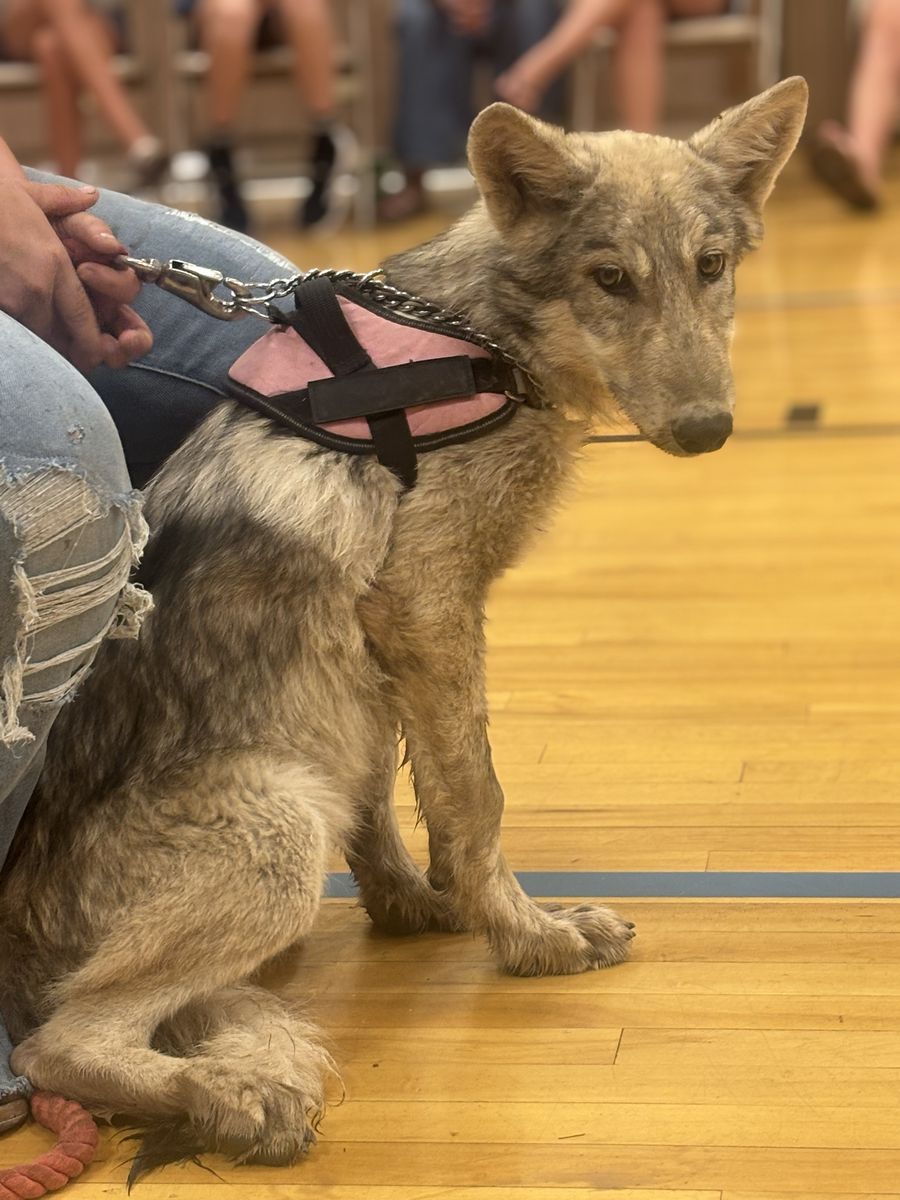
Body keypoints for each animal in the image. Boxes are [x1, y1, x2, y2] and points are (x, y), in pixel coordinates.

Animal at [0, 78, 808, 1173]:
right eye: (611, 279)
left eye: (710, 268)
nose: (707, 432)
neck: (481, 345)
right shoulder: (425, 604)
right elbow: (477, 797)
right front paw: (527, 938)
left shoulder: (381, 648)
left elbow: (392, 794)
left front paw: (422, 908)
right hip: (280, 832)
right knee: (61, 1043)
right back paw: (232, 1099)